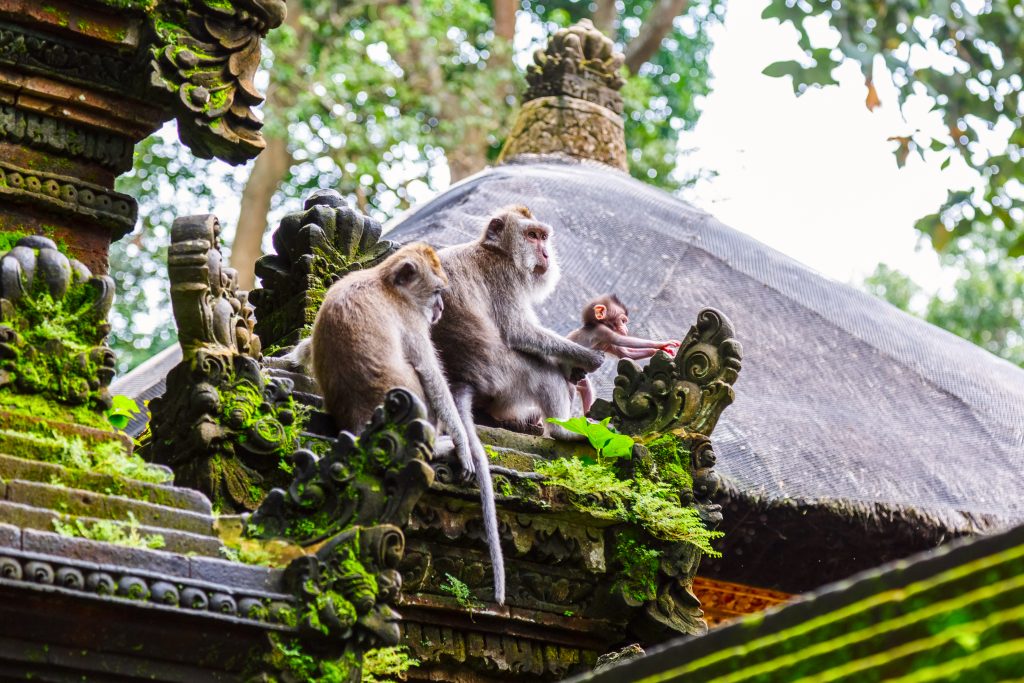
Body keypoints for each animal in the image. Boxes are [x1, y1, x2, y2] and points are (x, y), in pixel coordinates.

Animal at [299, 244, 505, 602]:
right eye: (436, 293)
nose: (440, 309)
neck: (385, 283)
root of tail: (359, 427)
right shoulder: (411, 320)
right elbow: (431, 375)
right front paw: (463, 444)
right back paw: (443, 445)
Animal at [428, 205, 602, 446]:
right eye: (532, 235)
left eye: (543, 237)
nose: (546, 254)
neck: (496, 251)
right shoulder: (504, 276)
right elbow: (517, 332)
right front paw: (586, 358)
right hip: (502, 377)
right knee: (544, 372)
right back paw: (563, 432)